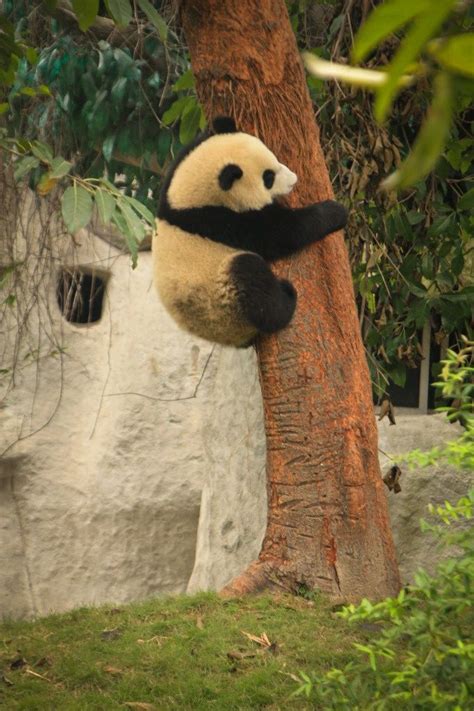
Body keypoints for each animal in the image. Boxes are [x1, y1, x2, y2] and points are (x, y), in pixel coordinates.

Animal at [153, 117, 348, 348]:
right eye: (268, 178)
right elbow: (280, 233)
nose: (294, 179)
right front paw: (336, 212)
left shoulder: (173, 177)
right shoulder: (220, 220)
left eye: (274, 157)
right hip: (220, 301)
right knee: (251, 279)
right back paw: (287, 297)